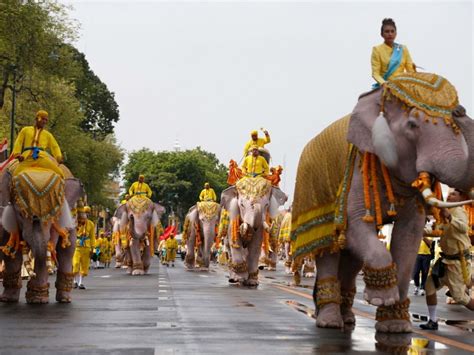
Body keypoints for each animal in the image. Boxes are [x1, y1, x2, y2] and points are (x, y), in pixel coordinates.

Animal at [0, 161, 83, 304]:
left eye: (52, 216)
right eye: (21, 214)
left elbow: (48, 247)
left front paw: (37, 300)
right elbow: (10, 248)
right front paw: (7, 299)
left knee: (68, 249)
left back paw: (64, 299)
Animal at [290, 72, 474, 334]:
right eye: (412, 125)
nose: (460, 110)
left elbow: (409, 234)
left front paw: (396, 326)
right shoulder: (359, 168)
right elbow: (356, 225)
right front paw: (380, 299)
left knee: (352, 258)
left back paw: (348, 319)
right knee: (329, 250)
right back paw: (329, 322)